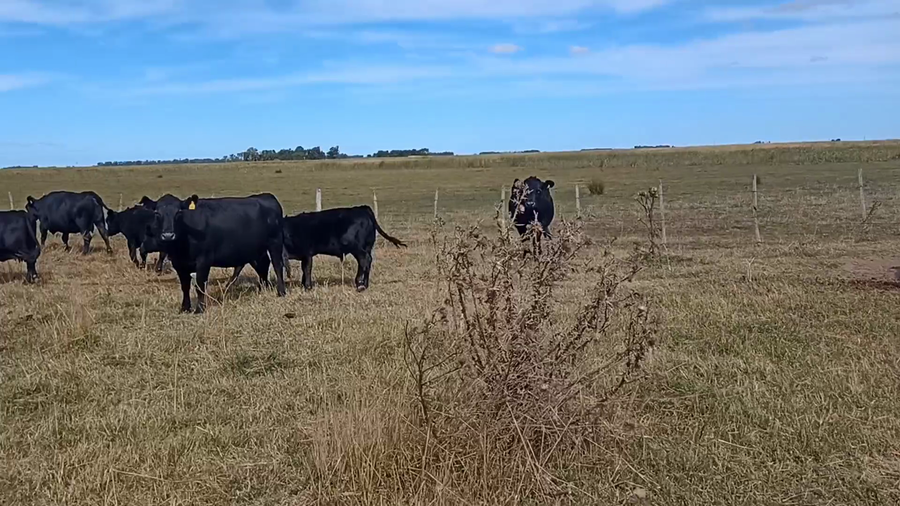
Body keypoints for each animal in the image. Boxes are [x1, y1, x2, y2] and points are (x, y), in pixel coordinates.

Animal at [141, 193, 287, 313]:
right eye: (157, 213)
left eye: (178, 212)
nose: (168, 235)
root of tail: (266, 196)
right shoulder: (179, 264)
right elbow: (185, 286)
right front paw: (185, 308)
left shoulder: (203, 261)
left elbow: (200, 285)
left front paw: (200, 309)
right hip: (256, 249)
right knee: (263, 265)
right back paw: (263, 289)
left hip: (275, 242)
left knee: (277, 266)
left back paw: (281, 292)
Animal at [278, 205, 406, 292]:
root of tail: (362, 208)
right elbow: (304, 270)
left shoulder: (307, 253)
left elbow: (306, 269)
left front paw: (308, 287)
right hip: (367, 247)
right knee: (367, 262)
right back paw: (365, 284)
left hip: (356, 247)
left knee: (364, 260)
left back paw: (359, 284)